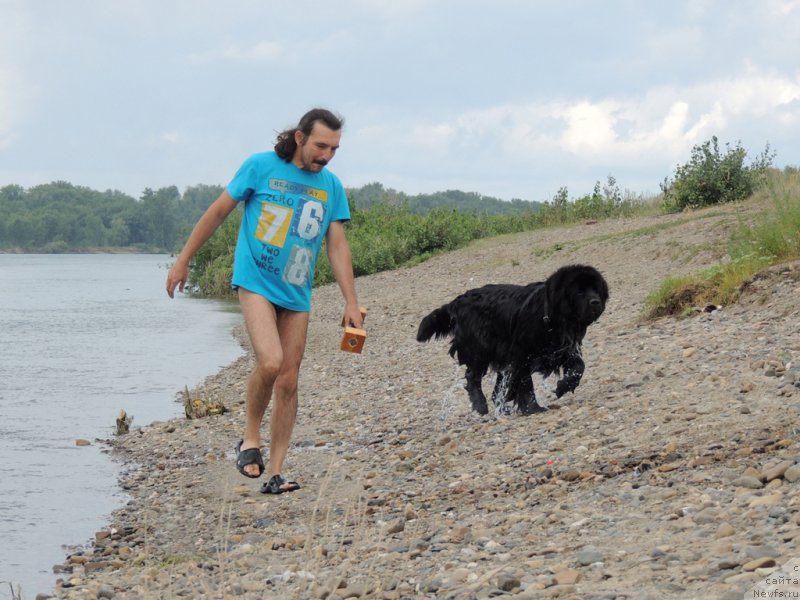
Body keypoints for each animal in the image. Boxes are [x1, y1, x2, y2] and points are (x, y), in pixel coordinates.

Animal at [418, 264, 608, 414]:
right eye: (579, 291)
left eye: (596, 289)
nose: (595, 302)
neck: (550, 316)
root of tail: (457, 301)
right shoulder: (521, 356)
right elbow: (526, 384)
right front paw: (532, 408)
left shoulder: (565, 349)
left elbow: (579, 367)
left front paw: (563, 386)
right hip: (479, 348)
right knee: (472, 376)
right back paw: (480, 405)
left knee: (495, 388)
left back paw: (502, 408)